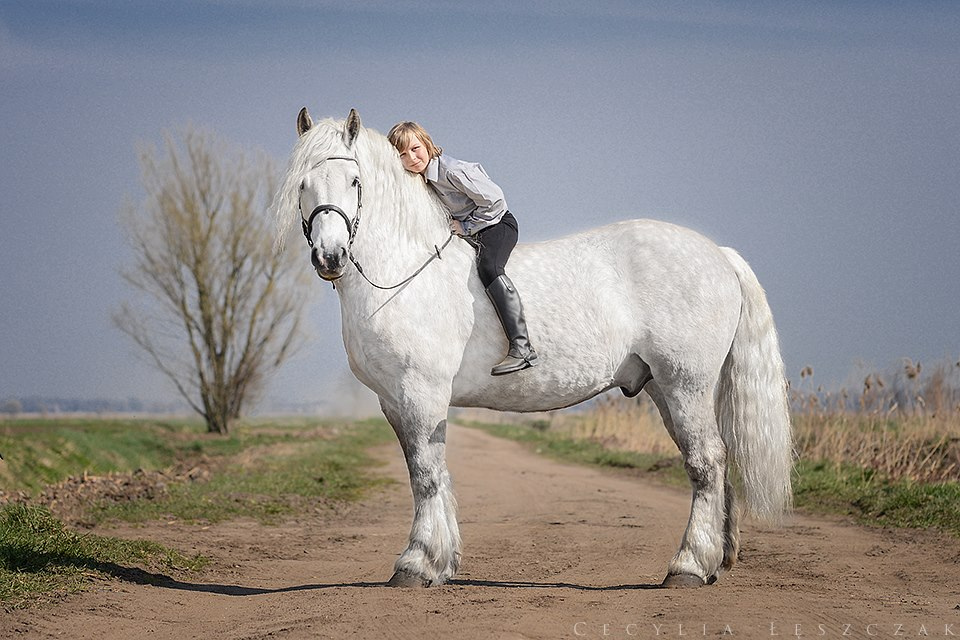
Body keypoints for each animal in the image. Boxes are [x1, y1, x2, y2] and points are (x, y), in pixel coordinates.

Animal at [274, 107, 792, 588]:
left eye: (355, 180)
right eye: (303, 185)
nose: (330, 257)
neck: (406, 272)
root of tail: (718, 255)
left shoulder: (420, 394)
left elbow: (425, 475)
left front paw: (415, 564)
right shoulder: (396, 402)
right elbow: (433, 473)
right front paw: (442, 563)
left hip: (685, 383)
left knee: (706, 461)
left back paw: (687, 566)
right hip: (666, 388)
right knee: (716, 459)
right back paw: (716, 560)